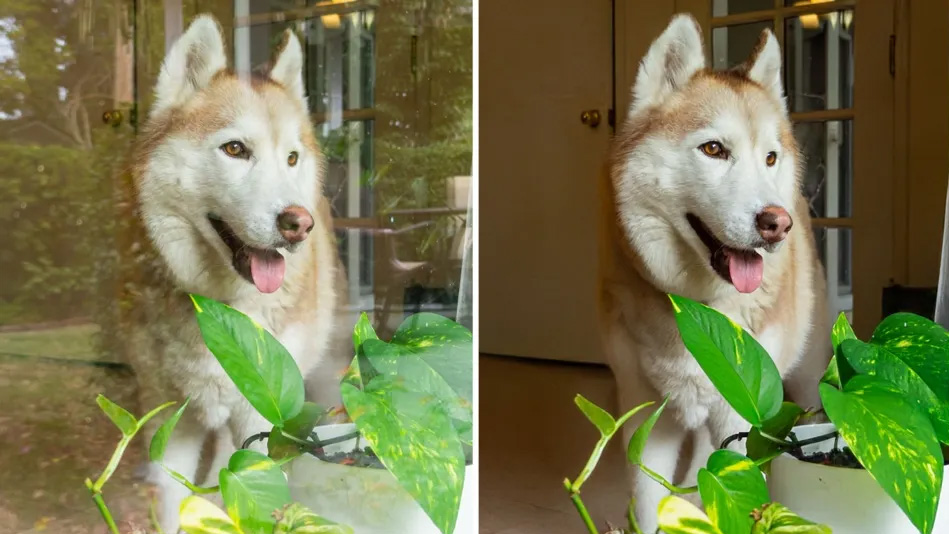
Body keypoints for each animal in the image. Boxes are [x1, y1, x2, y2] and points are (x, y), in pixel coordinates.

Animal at [118, 14, 346, 532]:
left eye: (291, 158)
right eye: (236, 149)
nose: (298, 223)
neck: (218, 310)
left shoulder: (262, 418)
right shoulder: (170, 422)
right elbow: (173, 500)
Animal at [600, 13, 828, 534]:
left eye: (769, 158)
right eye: (713, 149)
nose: (777, 222)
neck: (697, 310)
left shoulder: (744, 412)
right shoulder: (647, 416)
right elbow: (648, 500)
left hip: (804, 378)